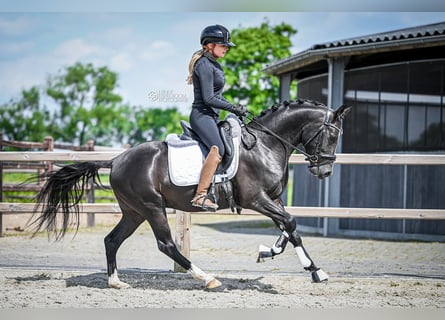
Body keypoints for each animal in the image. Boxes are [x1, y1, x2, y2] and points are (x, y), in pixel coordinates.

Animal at [30, 100, 350, 290]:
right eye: (333, 135)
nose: (324, 171)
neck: (265, 144)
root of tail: (116, 160)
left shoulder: (274, 199)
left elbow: (289, 228)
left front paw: (285, 258)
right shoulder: (256, 199)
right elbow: (291, 223)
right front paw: (308, 267)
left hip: (134, 212)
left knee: (112, 240)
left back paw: (116, 282)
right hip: (152, 208)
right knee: (166, 245)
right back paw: (207, 278)